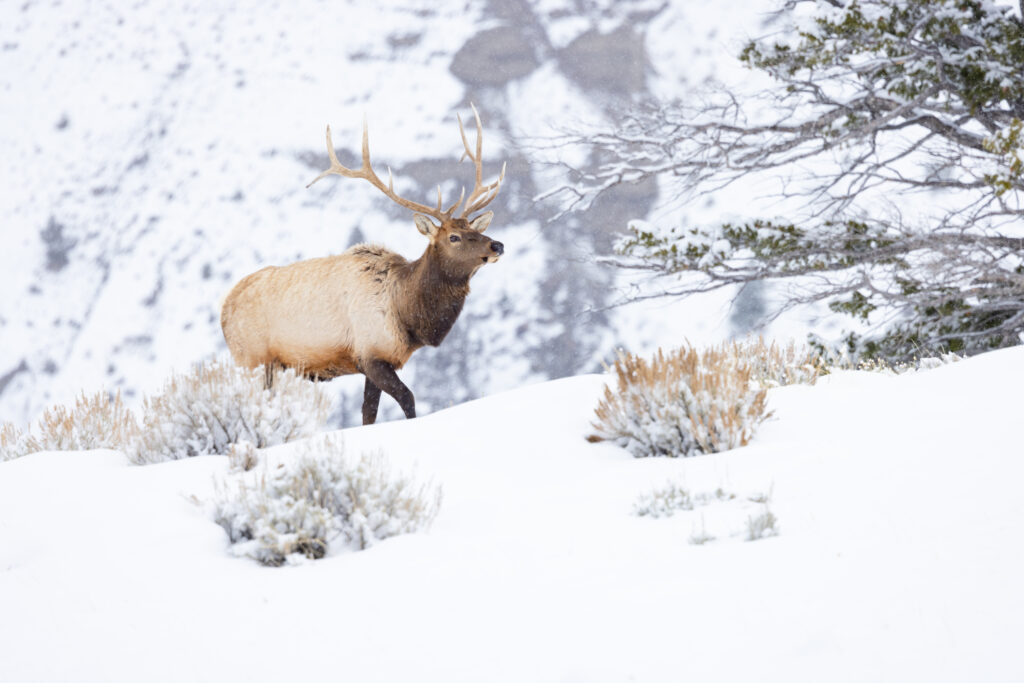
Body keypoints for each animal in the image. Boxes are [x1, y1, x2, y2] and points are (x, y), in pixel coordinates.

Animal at [221, 105, 506, 425]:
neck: (406, 314)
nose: (497, 245)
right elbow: (408, 399)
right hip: (251, 358)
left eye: (473, 229)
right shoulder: (370, 353)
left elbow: (368, 413)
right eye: (454, 237)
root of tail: (223, 308)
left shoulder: (377, 361)